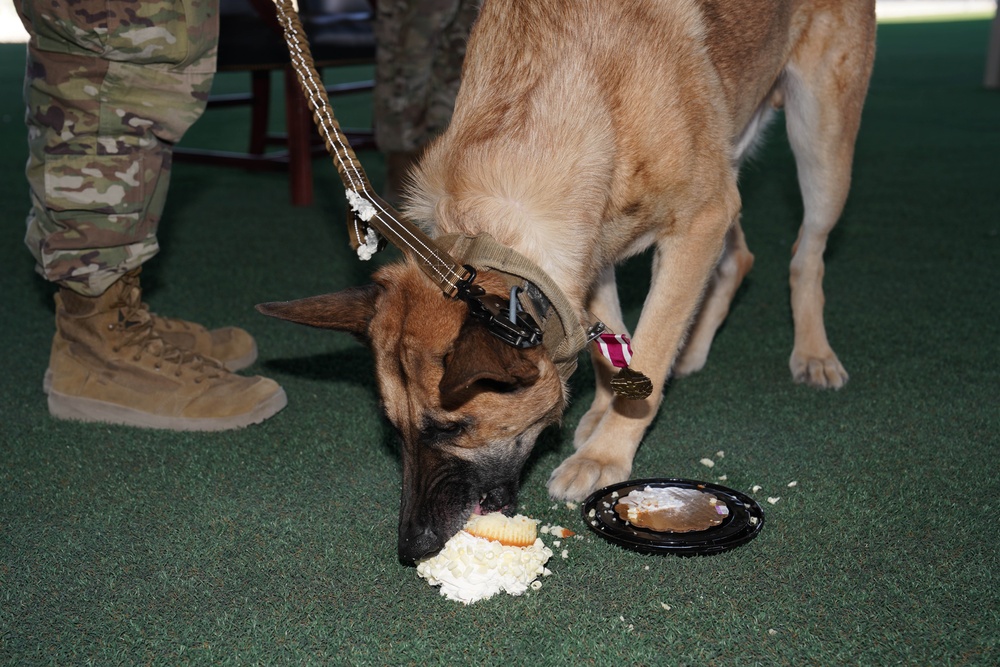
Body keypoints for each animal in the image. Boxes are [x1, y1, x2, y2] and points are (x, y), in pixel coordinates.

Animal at [258, 0, 876, 564]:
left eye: (453, 429)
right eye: (396, 431)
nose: (412, 547)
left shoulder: (700, 218)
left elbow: (649, 347)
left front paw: (606, 452)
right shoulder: (591, 253)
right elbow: (614, 345)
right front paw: (604, 409)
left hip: (821, 145)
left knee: (806, 254)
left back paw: (813, 353)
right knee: (738, 258)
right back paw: (697, 347)